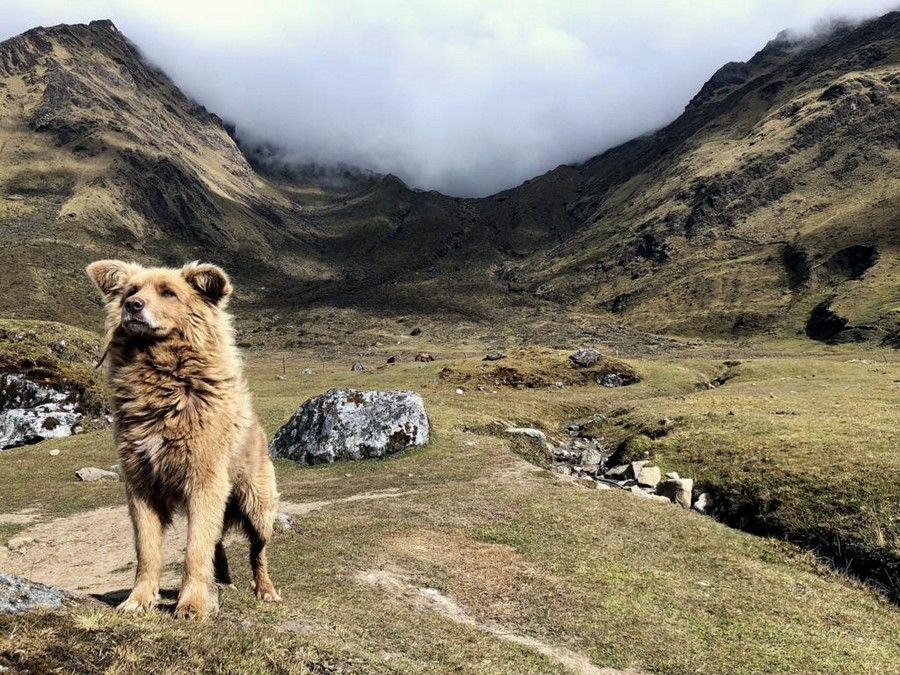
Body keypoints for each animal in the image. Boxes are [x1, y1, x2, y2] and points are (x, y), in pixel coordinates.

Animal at [87, 262, 282, 620]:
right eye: (131, 291)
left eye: (168, 292)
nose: (132, 306)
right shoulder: (141, 485)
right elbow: (148, 551)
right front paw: (138, 599)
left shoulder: (204, 479)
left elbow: (195, 551)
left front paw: (192, 604)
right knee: (218, 543)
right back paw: (224, 584)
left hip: (258, 506)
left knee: (257, 552)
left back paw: (265, 590)